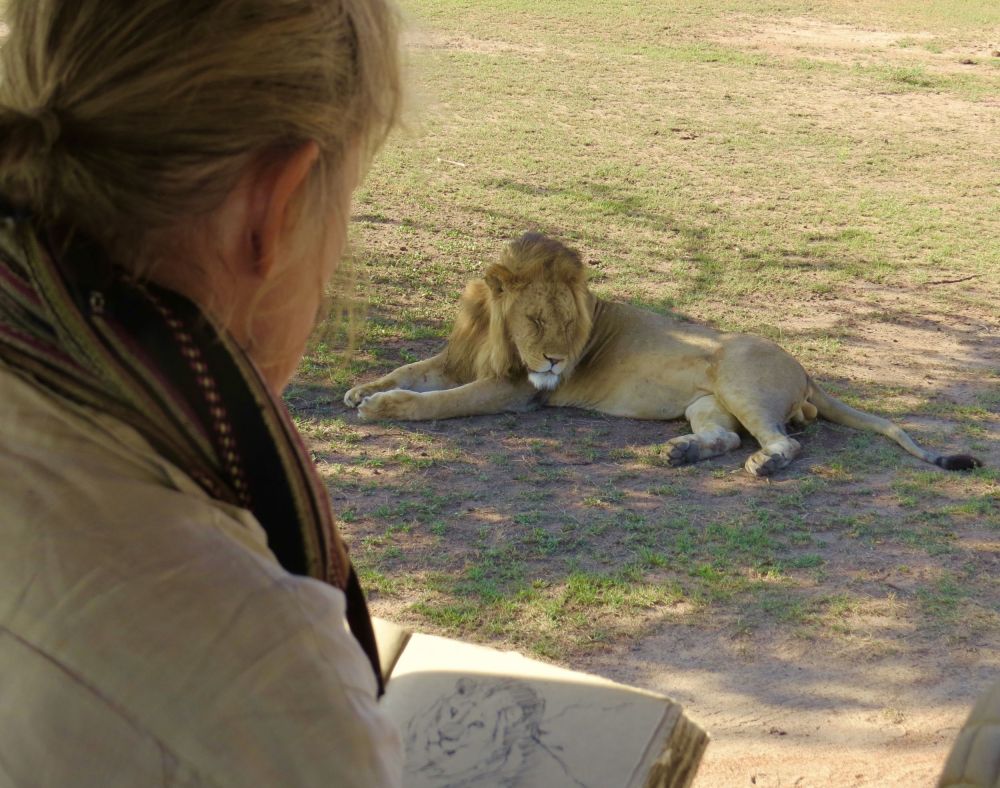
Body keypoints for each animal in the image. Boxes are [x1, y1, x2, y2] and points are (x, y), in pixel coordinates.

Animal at [345, 233, 982, 477]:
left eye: (570, 324)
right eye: (536, 320)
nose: (554, 362)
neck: (492, 328)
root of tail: (805, 369)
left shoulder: (518, 390)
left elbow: (444, 401)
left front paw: (383, 407)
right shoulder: (461, 358)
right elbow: (413, 370)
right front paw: (361, 388)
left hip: (741, 381)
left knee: (785, 442)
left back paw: (764, 465)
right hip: (707, 403)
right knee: (725, 438)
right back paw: (681, 451)